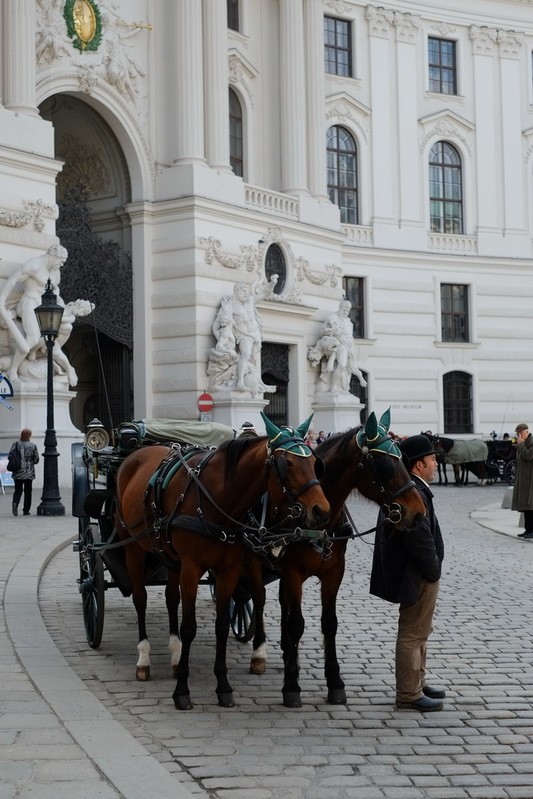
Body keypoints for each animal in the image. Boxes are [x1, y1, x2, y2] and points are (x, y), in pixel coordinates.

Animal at [113, 412, 328, 712]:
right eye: (288, 464)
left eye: (314, 463)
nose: (322, 510)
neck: (217, 500)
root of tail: (139, 452)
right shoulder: (192, 569)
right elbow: (189, 627)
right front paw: (182, 691)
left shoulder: (229, 569)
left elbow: (222, 624)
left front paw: (223, 686)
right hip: (132, 547)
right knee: (140, 599)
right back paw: (144, 659)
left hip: (169, 557)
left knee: (171, 598)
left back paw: (175, 654)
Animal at [240, 410, 424, 708]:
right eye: (384, 464)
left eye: (403, 458)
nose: (418, 513)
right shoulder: (293, 572)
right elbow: (297, 623)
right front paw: (291, 685)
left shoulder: (334, 572)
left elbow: (329, 623)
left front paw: (334, 682)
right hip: (253, 561)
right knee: (258, 599)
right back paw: (260, 653)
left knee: (281, 603)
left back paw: (286, 651)